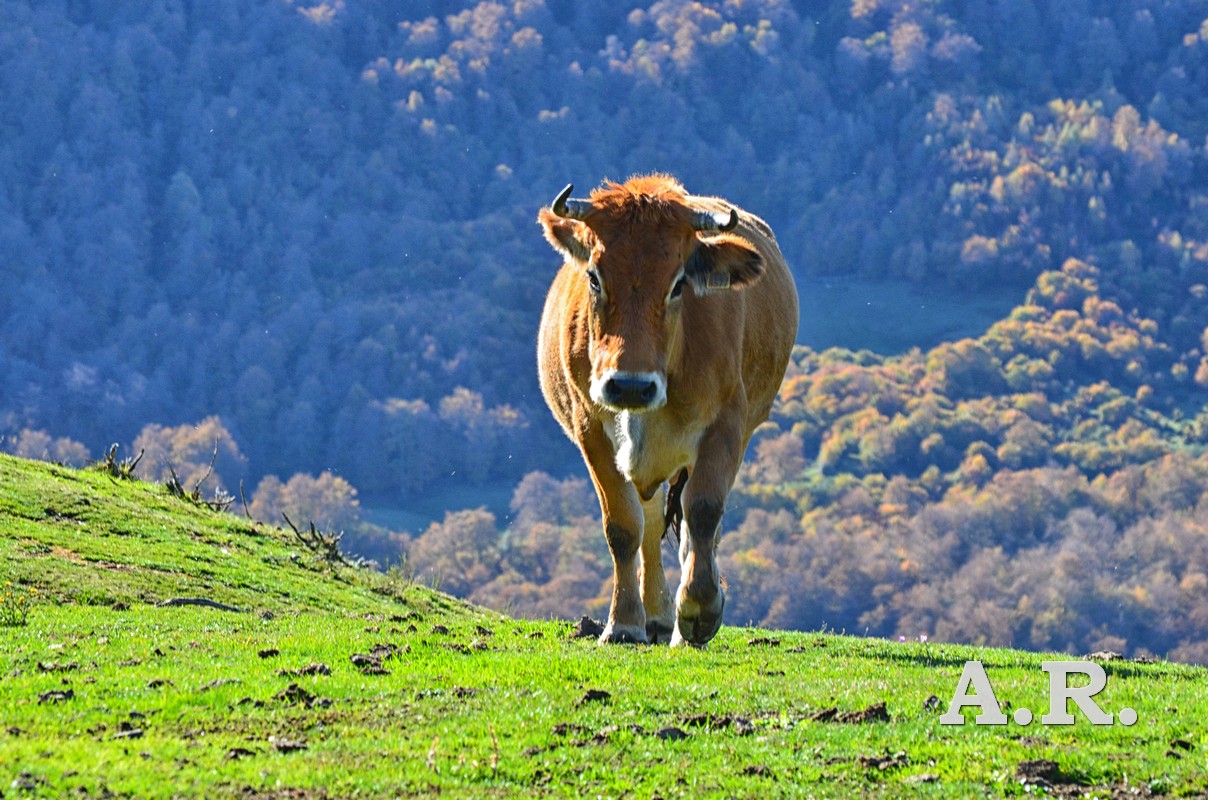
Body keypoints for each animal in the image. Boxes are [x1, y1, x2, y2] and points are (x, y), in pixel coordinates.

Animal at [536, 174, 798, 646]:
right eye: (594, 278)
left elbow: (704, 511)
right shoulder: (591, 431)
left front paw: (698, 610)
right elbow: (623, 526)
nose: (630, 385)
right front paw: (623, 624)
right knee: (652, 523)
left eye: (678, 284)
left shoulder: (725, 427)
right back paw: (656, 616)